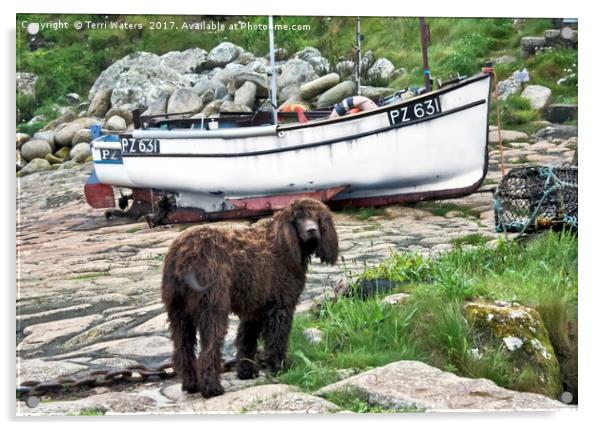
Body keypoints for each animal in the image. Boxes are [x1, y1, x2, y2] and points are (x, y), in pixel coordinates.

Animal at [159, 197, 338, 396]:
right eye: (298, 218)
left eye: (317, 218)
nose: (311, 230)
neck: (283, 243)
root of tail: (182, 253)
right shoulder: (280, 304)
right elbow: (277, 337)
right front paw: (279, 366)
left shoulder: (254, 308)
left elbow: (246, 339)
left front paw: (247, 371)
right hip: (212, 306)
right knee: (209, 348)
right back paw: (212, 387)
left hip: (178, 310)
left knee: (183, 349)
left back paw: (191, 384)